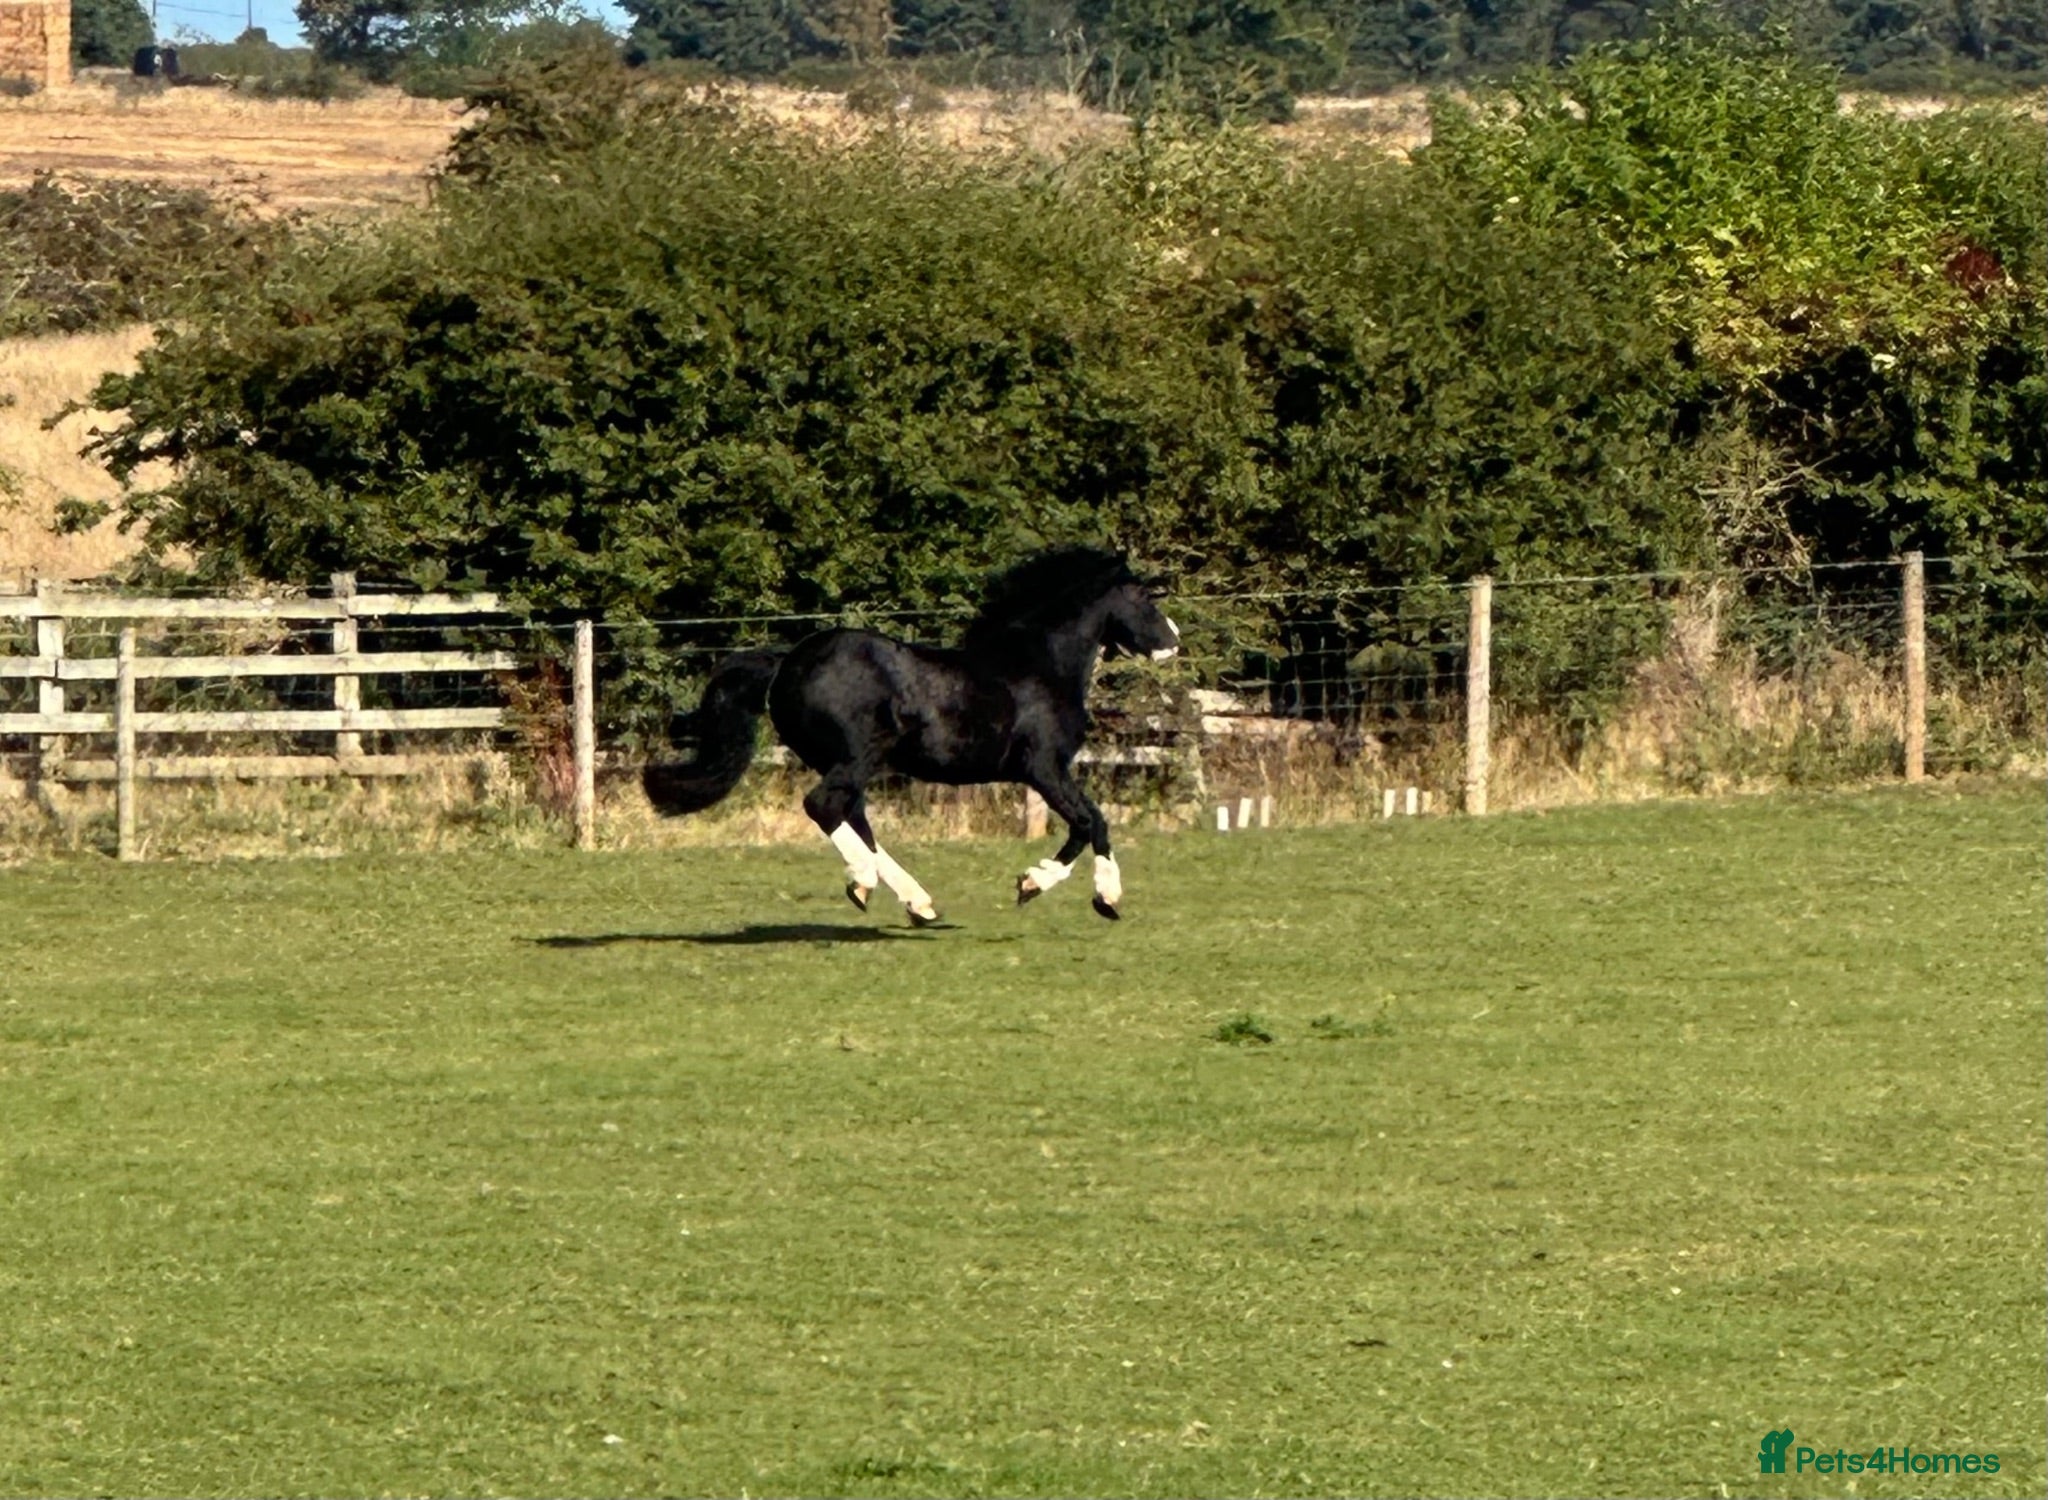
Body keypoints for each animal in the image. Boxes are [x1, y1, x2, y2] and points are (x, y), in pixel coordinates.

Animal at [642, 547, 1181, 926]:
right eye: (1142, 597)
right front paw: (1061, 889)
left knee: (854, 818)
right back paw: (865, 883)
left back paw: (916, 903)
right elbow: (1089, 823)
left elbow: (1093, 823)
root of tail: (787, 663)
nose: (1173, 642)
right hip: (856, 756)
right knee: (825, 807)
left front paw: (1076, 892)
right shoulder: (1043, 768)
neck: (1038, 665)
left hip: (842, 761)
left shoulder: (1048, 772)